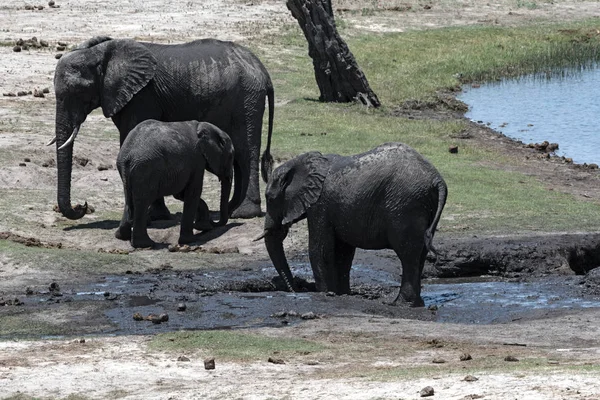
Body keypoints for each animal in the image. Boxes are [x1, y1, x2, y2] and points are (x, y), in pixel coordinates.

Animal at [51, 36, 274, 223]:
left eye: (78, 92)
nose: (82, 206)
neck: (101, 53)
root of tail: (263, 70)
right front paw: (155, 215)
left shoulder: (142, 96)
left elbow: (132, 136)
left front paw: (151, 217)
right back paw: (230, 208)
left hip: (247, 100)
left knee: (245, 151)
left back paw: (243, 213)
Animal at [115, 120, 234, 248]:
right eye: (231, 156)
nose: (214, 222)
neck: (203, 126)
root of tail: (128, 157)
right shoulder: (197, 159)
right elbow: (193, 192)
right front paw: (190, 239)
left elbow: (181, 194)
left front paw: (204, 227)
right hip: (145, 170)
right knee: (142, 201)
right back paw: (145, 244)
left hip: (128, 172)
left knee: (129, 199)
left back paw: (122, 236)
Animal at [255, 143, 448, 306]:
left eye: (269, 198)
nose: (296, 289)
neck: (304, 162)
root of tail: (437, 180)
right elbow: (343, 253)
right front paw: (342, 294)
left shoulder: (320, 205)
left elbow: (320, 250)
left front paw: (326, 293)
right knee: (420, 253)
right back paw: (416, 303)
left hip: (406, 206)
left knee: (408, 254)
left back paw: (400, 303)